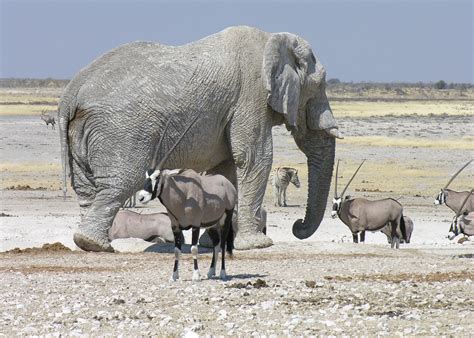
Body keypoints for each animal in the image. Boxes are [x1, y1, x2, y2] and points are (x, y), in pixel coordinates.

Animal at [59, 25, 338, 251]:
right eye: (318, 87)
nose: (297, 225)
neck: (271, 39)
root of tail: (71, 94)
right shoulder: (252, 96)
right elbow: (254, 159)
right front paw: (258, 244)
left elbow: (226, 170)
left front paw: (213, 242)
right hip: (121, 131)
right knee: (121, 182)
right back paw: (94, 244)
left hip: (83, 130)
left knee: (87, 189)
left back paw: (90, 242)